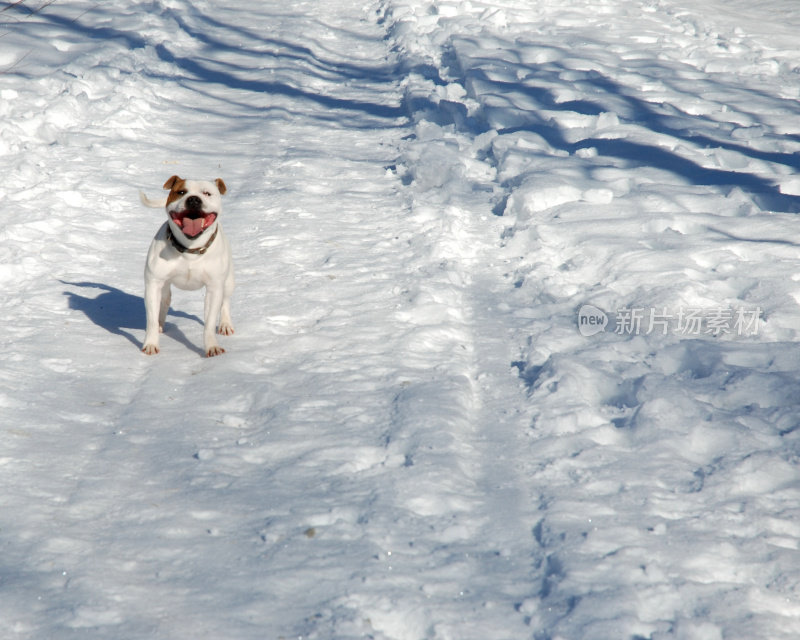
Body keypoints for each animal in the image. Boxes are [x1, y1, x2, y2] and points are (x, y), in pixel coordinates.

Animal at [140, 175, 234, 358]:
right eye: (181, 192)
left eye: (207, 193)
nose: (194, 199)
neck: (190, 249)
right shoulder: (153, 284)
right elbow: (151, 320)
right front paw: (151, 344)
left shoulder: (214, 288)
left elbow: (209, 323)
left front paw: (212, 347)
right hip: (164, 287)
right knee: (164, 303)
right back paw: (161, 323)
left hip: (228, 282)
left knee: (225, 302)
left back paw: (225, 324)